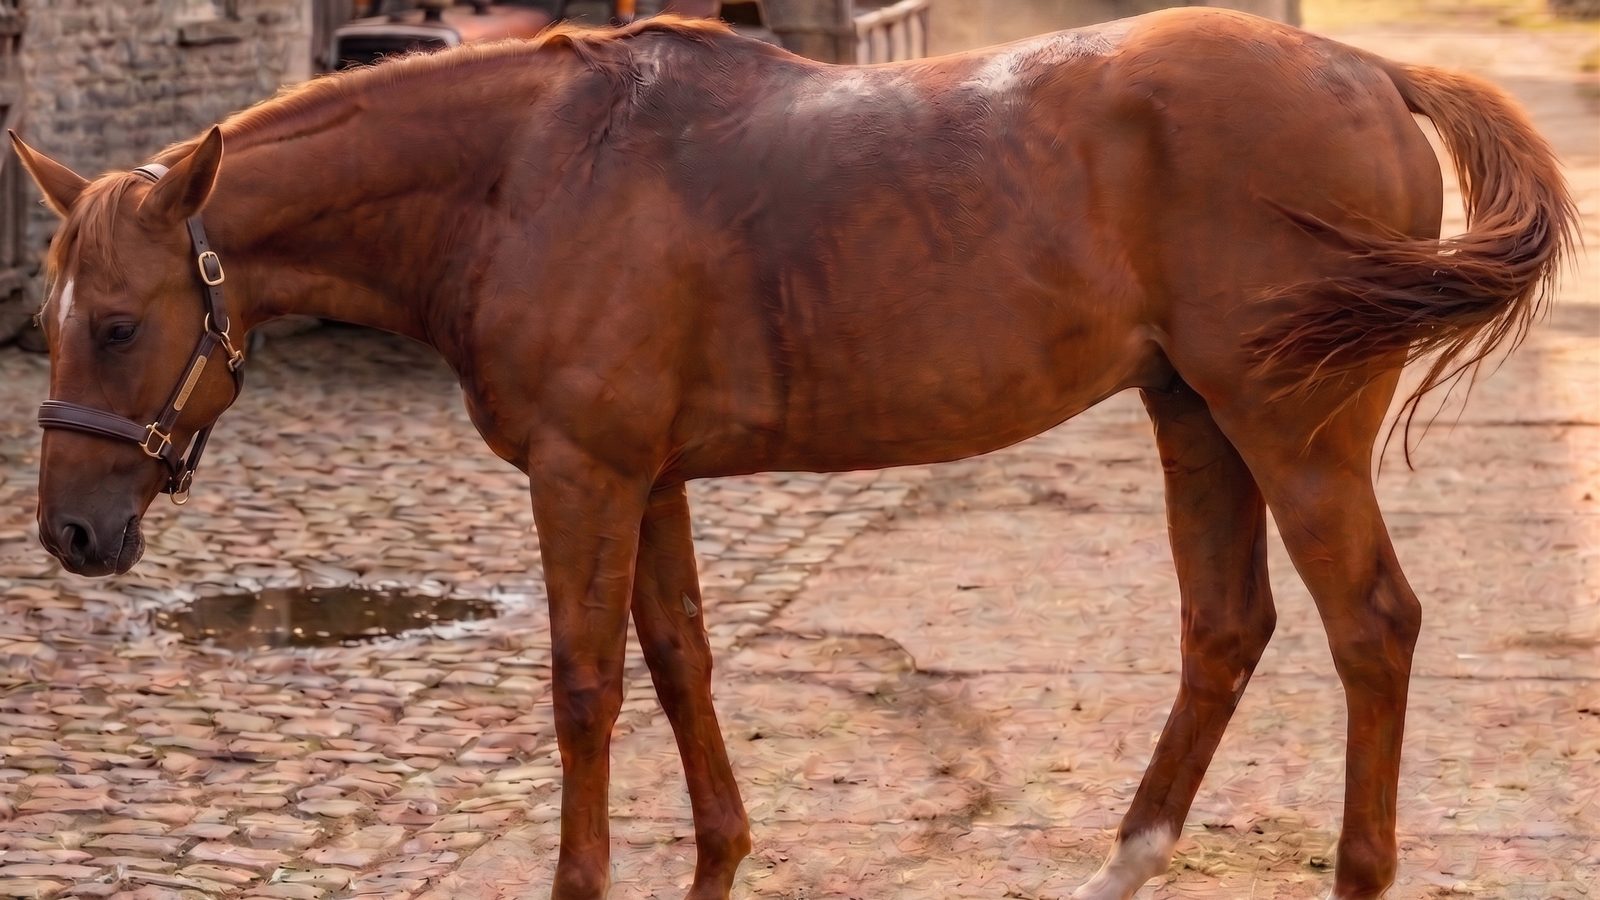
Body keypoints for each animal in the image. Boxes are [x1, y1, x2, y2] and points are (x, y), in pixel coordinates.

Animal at [13, 8, 1573, 899]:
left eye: (117, 322)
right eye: (48, 317)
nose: (72, 536)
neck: (526, 173)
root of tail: (1366, 64)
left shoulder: (584, 477)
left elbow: (585, 688)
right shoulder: (649, 482)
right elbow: (680, 660)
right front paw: (717, 858)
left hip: (1288, 427)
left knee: (1370, 627)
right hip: (1193, 414)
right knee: (1225, 628)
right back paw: (1125, 857)